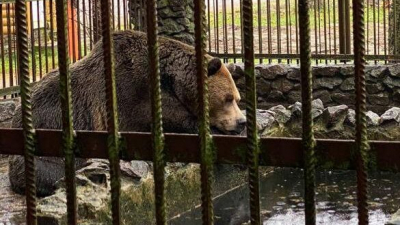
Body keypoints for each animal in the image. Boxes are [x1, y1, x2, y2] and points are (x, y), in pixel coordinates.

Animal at [8, 30, 247, 197]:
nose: (241, 121)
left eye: (237, 98)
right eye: (227, 98)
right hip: (47, 146)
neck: (170, 80)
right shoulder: (132, 95)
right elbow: (174, 122)